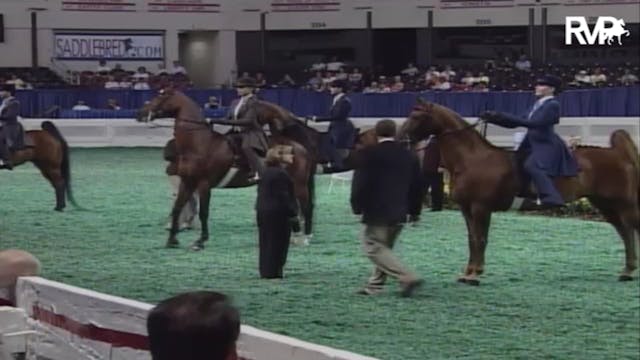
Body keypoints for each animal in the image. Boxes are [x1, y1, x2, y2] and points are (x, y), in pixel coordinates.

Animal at [138, 89, 316, 250]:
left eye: (161, 96)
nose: (140, 113)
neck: (200, 143)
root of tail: (299, 147)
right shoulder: (187, 182)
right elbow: (177, 208)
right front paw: (172, 240)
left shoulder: (204, 184)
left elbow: (204, 212)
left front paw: (200, 241)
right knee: (295, 208)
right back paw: (294, 237)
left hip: (299, 185)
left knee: (306, 207)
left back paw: (306, 238)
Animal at [400, 98, 640, 284]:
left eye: (417, 116)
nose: (402, 139)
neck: (472, 159)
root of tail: (618, 153)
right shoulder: (466, 209)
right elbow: (472, 239)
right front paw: (467, 272)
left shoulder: (480, 208)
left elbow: (481, 238)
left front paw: (475, 274)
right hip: (605, 204)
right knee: (624, 232)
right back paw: (627, 271)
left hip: (623, 204)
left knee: (630, 229)